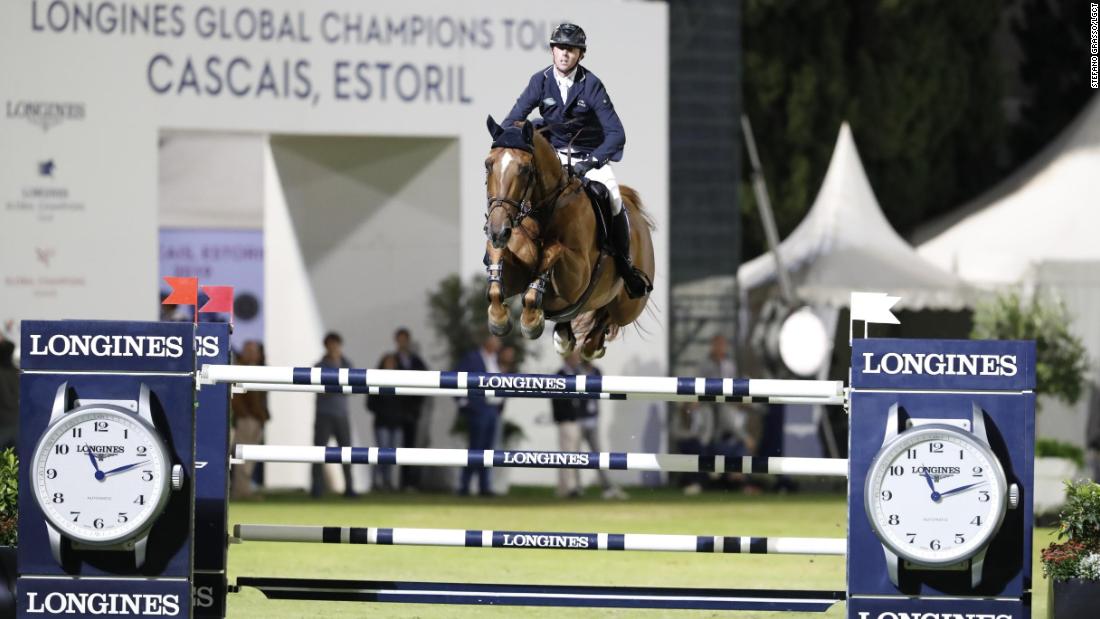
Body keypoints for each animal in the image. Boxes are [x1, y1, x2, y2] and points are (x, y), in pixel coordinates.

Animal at [481, 114, 651, 358]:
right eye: (488, 165)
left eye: (524, 169)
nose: (497, 230)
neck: (543, 211)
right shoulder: (514, 273)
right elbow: (497, 268)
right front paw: (499, 320)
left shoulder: (577, 277)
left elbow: (554, 249)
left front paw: (531, 321)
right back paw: (565, 338)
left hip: (627, 306)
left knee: (609, 316)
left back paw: (591, 345)